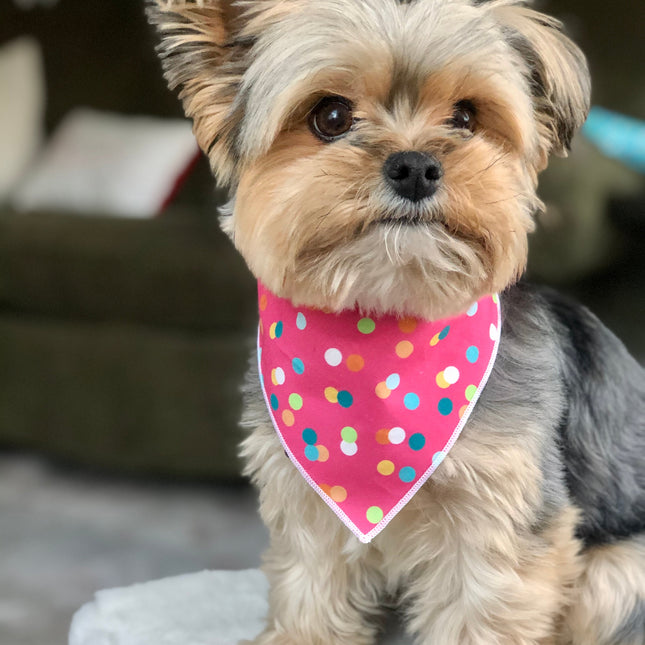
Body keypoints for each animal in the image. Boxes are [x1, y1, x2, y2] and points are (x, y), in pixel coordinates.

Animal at [148, 2, 640, 640]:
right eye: (330, 116)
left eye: (465, 117)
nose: (415, 167)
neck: (382, 321)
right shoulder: (310, 514)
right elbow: (309, 597)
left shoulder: (497, 522)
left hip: (619, 573)